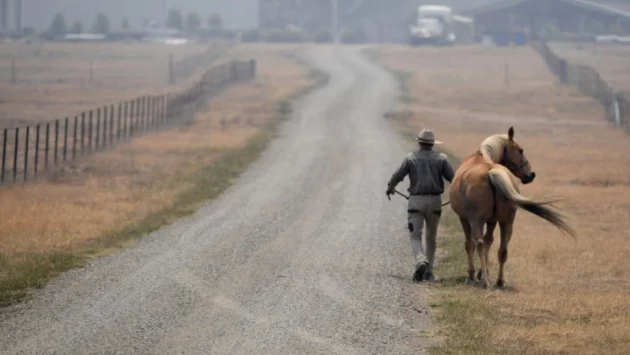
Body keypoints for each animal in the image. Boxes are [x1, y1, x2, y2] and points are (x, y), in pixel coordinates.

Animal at [450, 127, 576, 290]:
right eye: (520, 150)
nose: (531, 175)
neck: (481, 157)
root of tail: (491, 172)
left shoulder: (465, 219)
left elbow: (469, 244)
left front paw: (473, 273)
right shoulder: (491, 220)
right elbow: (489, 240)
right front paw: (482, 272)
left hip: (478, 221)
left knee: (479, 244)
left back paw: (485, 281)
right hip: (506, 222)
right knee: (502, 249)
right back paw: (499, 281)